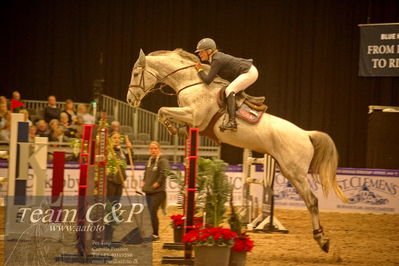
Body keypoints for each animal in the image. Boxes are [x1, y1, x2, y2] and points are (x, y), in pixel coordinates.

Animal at [126, 49, 348, 251]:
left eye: (136, 74)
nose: (130, 100)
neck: (192, 82)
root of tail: (306, 134)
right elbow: (165, 113)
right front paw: (177, 129)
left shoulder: (195, 116)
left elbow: (162, 111)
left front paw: (173, 128)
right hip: (289, 170)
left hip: (295, 172)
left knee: (312, 201)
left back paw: (322, 240)